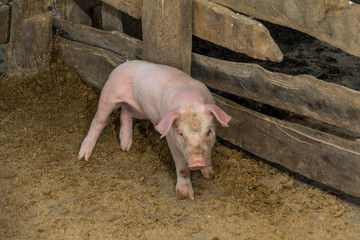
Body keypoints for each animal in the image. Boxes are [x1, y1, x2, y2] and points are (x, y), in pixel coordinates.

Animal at [78, 59, 231, 199]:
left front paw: (209, 175)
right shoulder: (170, 137)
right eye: (181, 133)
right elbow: (181, 166)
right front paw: (184, 195)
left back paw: (125, 146)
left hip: (141, 109)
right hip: (109, 94)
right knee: (99, 121)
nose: (197, 162)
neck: (190, 101)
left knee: (125, 112)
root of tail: (125, 63)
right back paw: (83, 156)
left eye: (209, 131)